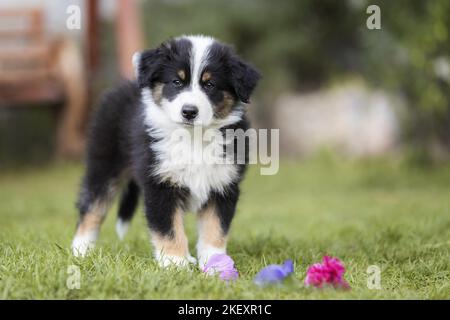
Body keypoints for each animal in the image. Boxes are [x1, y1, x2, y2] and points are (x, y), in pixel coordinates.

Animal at [70, 33, 260, 268]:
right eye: (177, 82)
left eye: (210, 84)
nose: (189, 111)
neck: (193, 138)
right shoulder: (160, 185)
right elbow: (168, 228)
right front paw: (175, 263)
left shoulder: (223, 185)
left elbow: (215, 228)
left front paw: (215, 263)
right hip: (104, 164)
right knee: (92, 207)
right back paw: (80, 250)